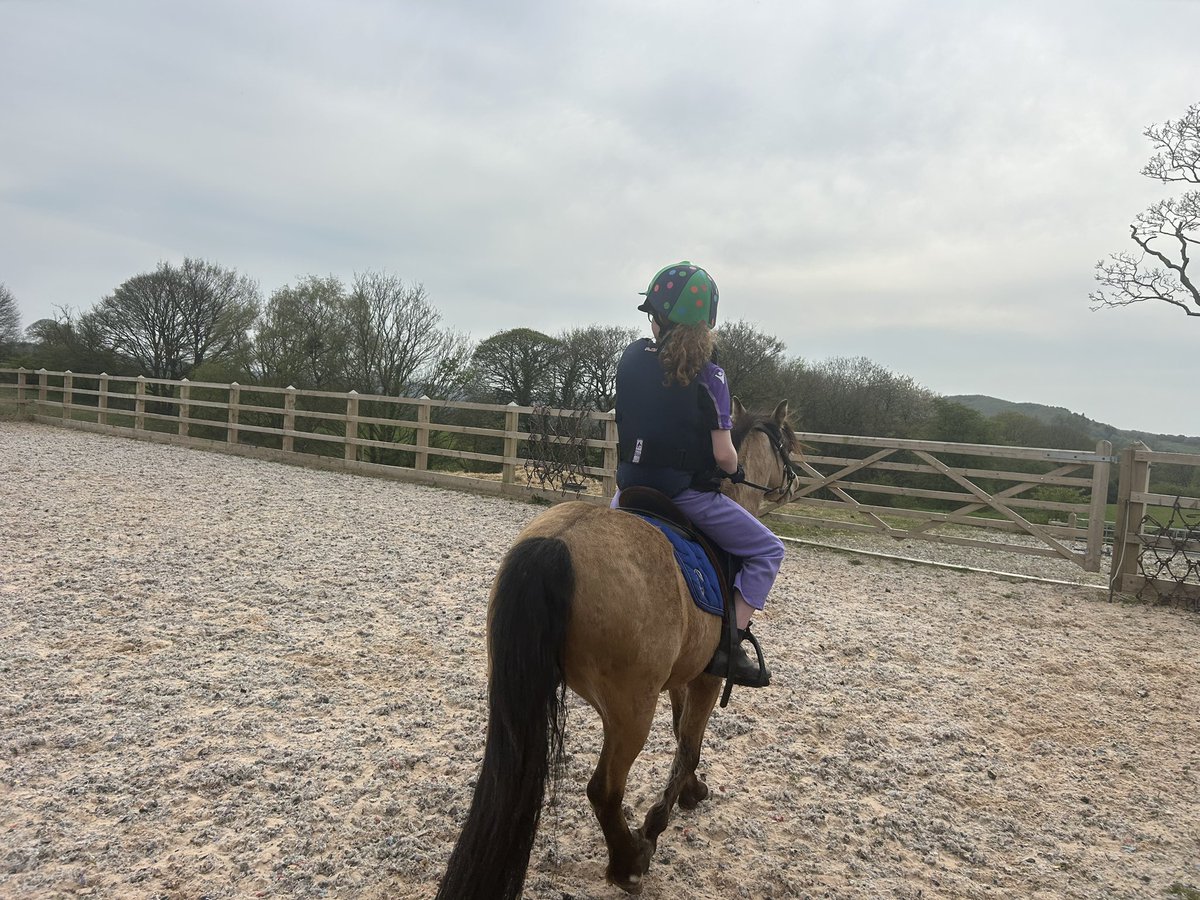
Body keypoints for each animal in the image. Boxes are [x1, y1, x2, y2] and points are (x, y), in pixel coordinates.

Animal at [435, 399, 800, 899]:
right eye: (787, 442)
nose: (795, 481)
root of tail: (555, 545)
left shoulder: (683, 673)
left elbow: (681, 733)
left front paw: (691, 791)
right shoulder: (707, 677)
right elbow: (689, 744)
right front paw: (658, 822)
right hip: (630, 711)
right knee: (604, 790)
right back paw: (630, 861)